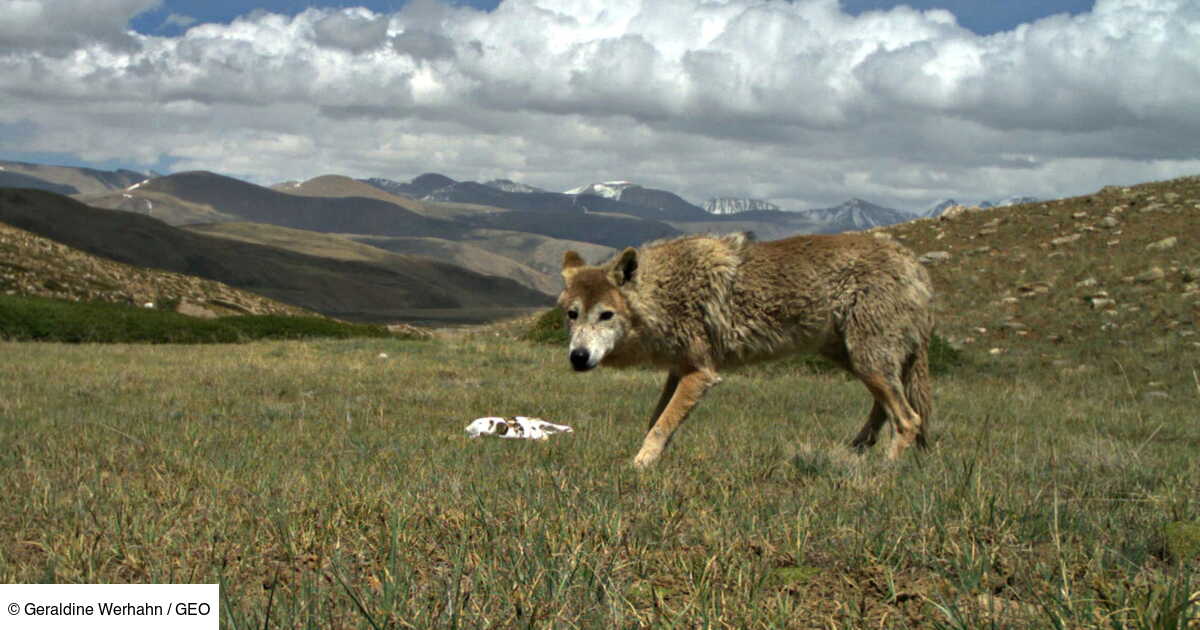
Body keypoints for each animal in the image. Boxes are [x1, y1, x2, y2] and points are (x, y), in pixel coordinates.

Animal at [558, 232, 934, 468]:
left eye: (606, 315)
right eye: (572, 315)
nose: (578, 357)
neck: (664, 294)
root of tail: (914, 265)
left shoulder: (701, 374)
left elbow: (662, 425)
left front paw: (639, 466)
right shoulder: (679, 371)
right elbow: (656, 422)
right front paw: (653, 460)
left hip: (868, 363)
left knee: (909, 420)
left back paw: (881, 471)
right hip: (860, 362)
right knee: (885, 412)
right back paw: (852, 455)